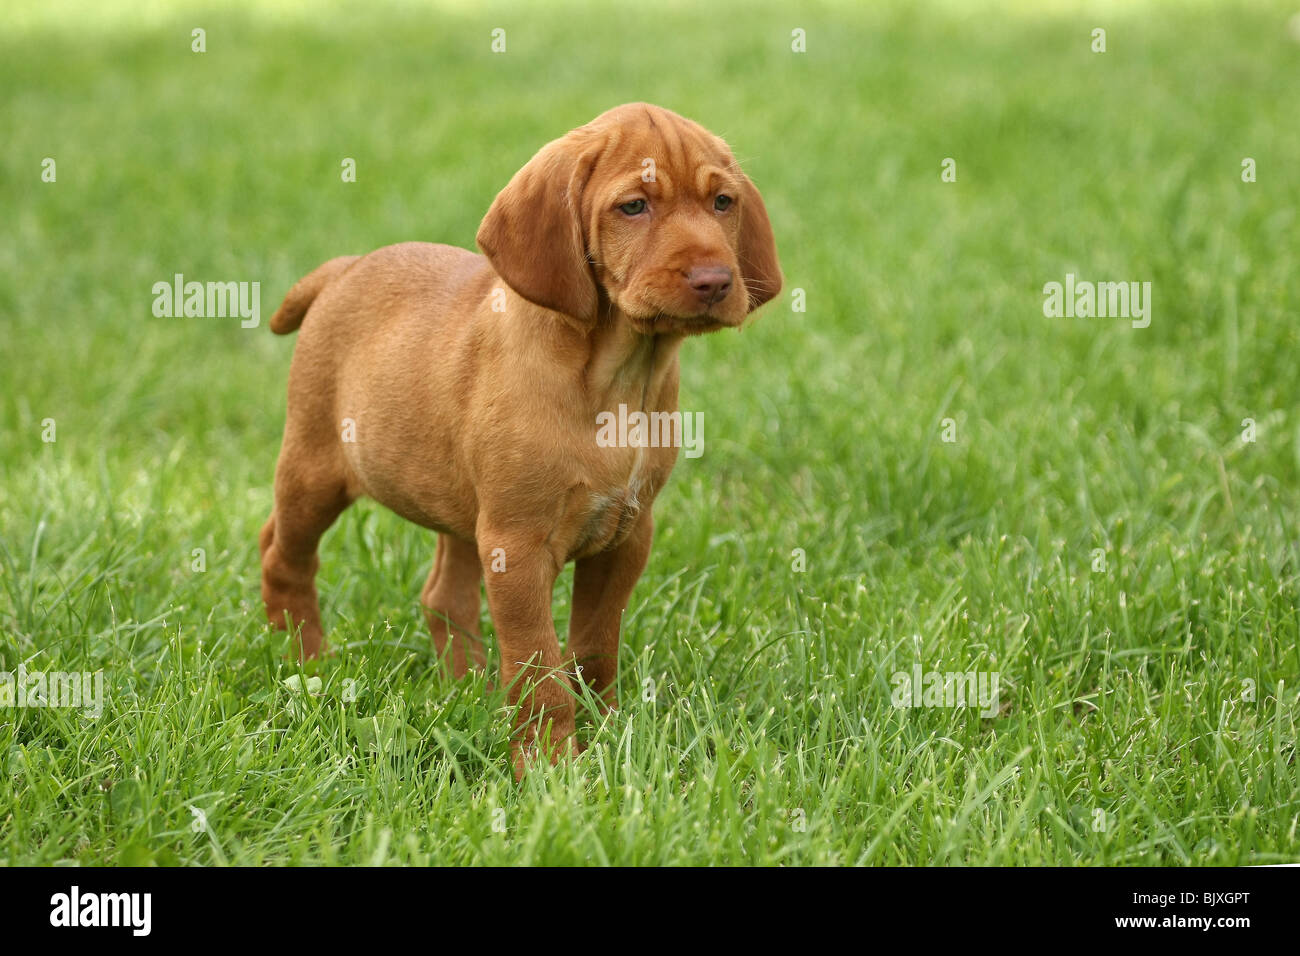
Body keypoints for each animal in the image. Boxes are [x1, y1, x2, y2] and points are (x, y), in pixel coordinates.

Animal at [258, 102, 774, 780]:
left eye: (722, 202)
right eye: (634, 206)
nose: (716, 280)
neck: (619, 377)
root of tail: (345, 268)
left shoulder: (626, 535)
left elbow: (593, 649)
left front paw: (608, 734)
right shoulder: (518, 546)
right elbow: (539, 670)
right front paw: (551, 769)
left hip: (460, 505)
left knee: (442, 596)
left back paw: (467, 688)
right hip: (317, 468)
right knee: (283, 556)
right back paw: (305, 664)